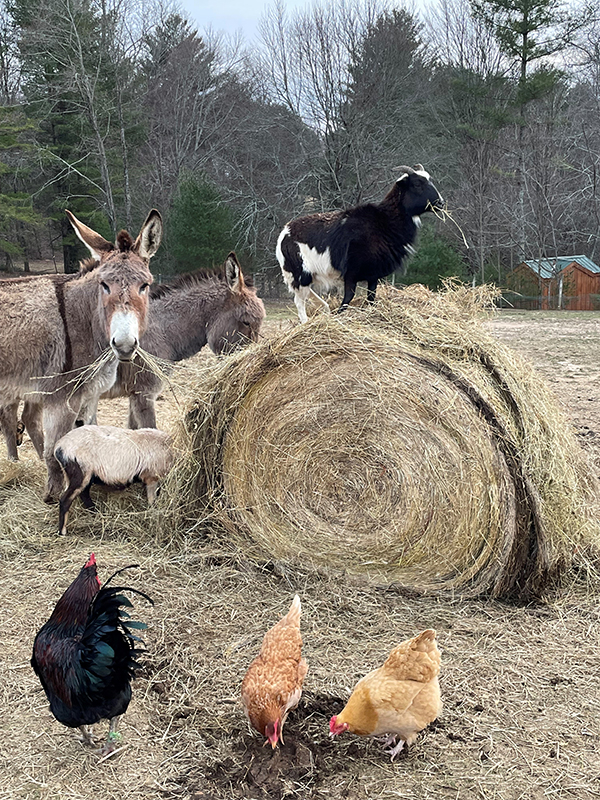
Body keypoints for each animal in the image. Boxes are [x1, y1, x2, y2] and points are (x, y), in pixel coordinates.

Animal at [278, 165, 442, 322]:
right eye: (417, 184)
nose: (441, 202)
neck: (385, 221)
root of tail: (284, 232)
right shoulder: (351, 273)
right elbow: (347, 298)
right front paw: (339, 316)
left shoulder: (373, 274)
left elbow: (371, 298)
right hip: (300, 274)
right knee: (299, 301)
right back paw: (306, 322)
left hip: (307, 276)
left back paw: (325, 309)